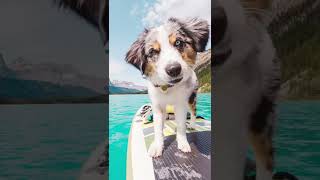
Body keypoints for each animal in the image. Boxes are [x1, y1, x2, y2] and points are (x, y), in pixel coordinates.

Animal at [125, 17, 210, 157]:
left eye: (178, 42)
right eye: (152, 51)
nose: (174, 69)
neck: (168, 87)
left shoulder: (181, 104)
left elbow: (181, 125)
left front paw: (183, 143)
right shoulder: (157, 106)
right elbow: (157, 128)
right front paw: (157, 146)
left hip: (191, 98)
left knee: (193, 113)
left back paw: (192, 125)